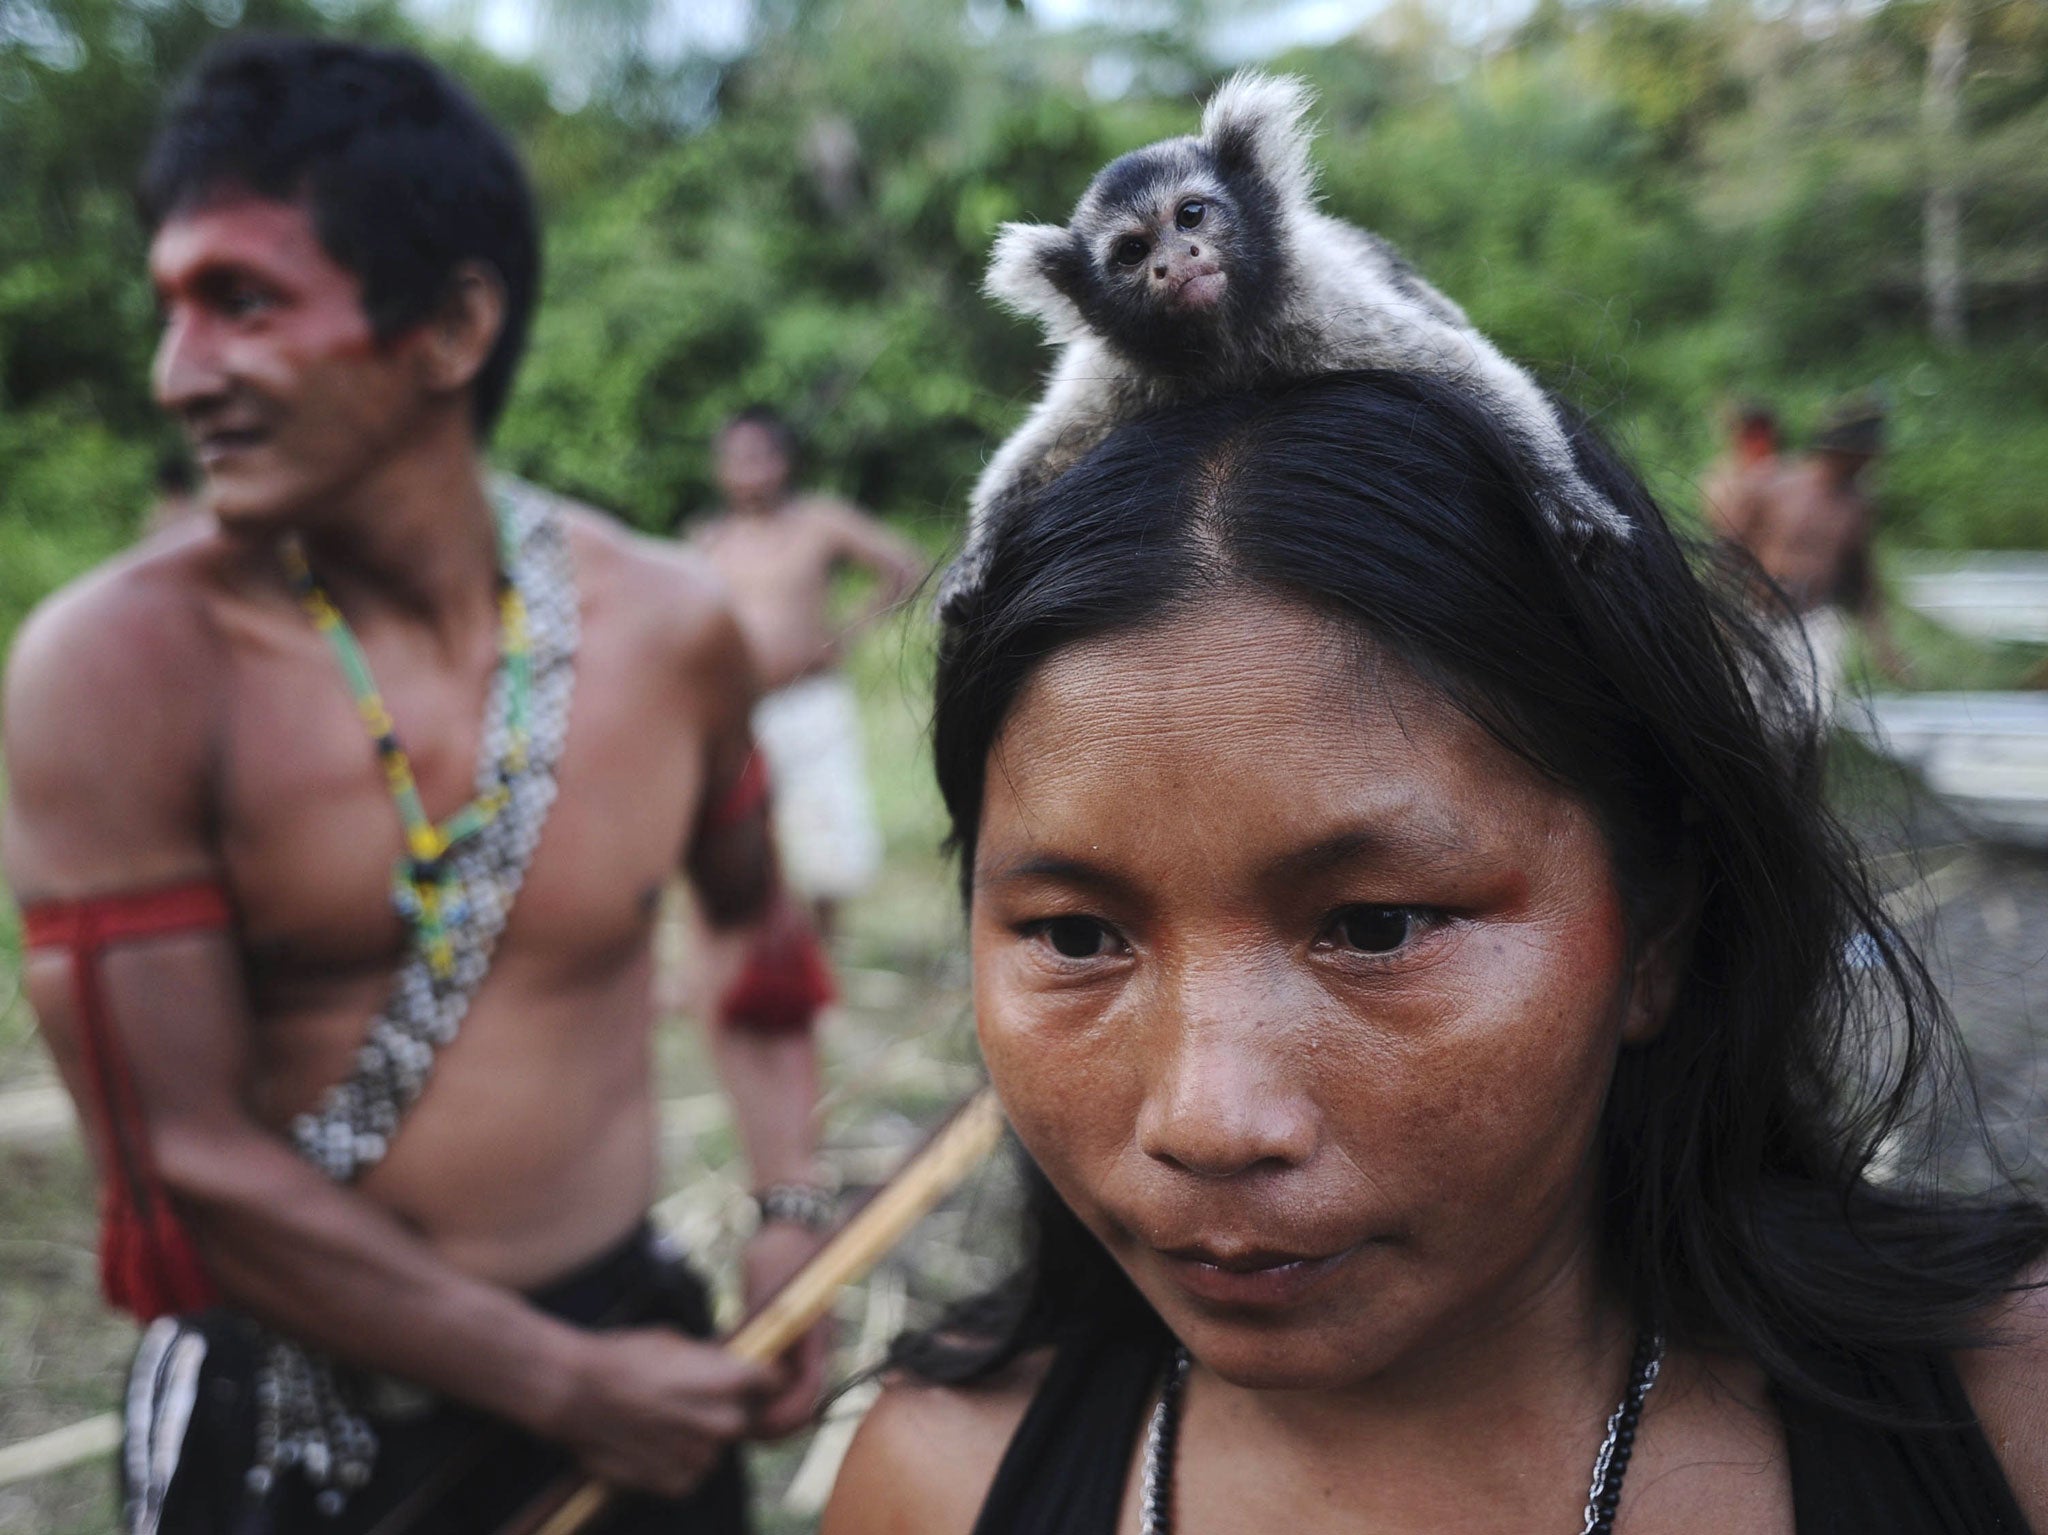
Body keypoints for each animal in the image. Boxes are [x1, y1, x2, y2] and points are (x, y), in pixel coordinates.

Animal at [942, 72, 1630, 609]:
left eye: (1190, 216)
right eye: (1132, 252)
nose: (1174, 263)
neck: (1222, 346)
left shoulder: (1319, 314)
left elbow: (1466, 370)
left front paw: (1559, 487)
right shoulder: (1124, 371)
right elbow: (1045, 448)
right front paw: (976, 551)